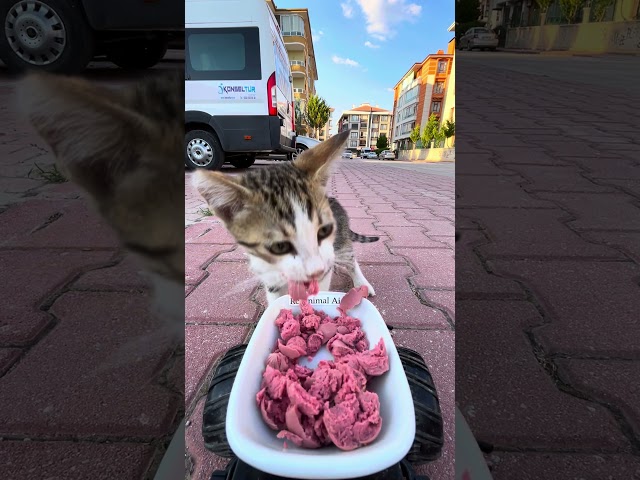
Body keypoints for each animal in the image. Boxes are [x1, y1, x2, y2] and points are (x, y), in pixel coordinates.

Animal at [192, 128, 378, 304]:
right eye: (279, 246)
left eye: (324, 230)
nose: (316, 271)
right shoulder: (267, 272)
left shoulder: (326, 265)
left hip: (338, 245)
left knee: (349, 257)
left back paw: (362, 283)